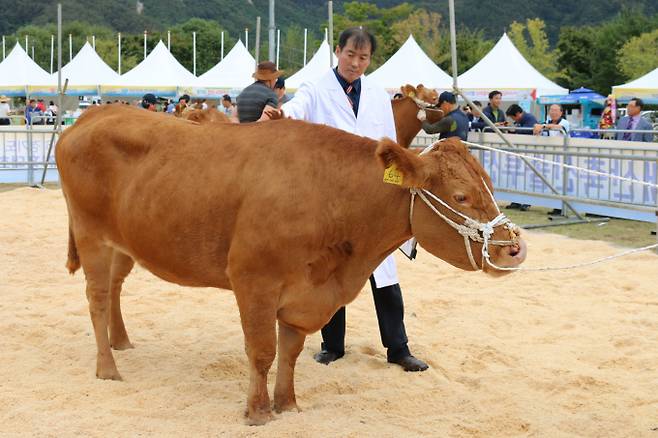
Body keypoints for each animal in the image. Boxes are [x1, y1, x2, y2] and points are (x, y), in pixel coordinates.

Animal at [57, 103, 528, 424]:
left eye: (489, 183)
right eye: (461, 196)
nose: (514, 249)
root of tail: (94, 114)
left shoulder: (306, 293)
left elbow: (290, 352)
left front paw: (288, 404)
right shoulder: (253, 281)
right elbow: (262, 351)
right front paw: (258, 412)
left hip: (124, 243)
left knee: (115, 289)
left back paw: (121, 342)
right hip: (92, 236)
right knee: (97, 298)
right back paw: (108, 367)